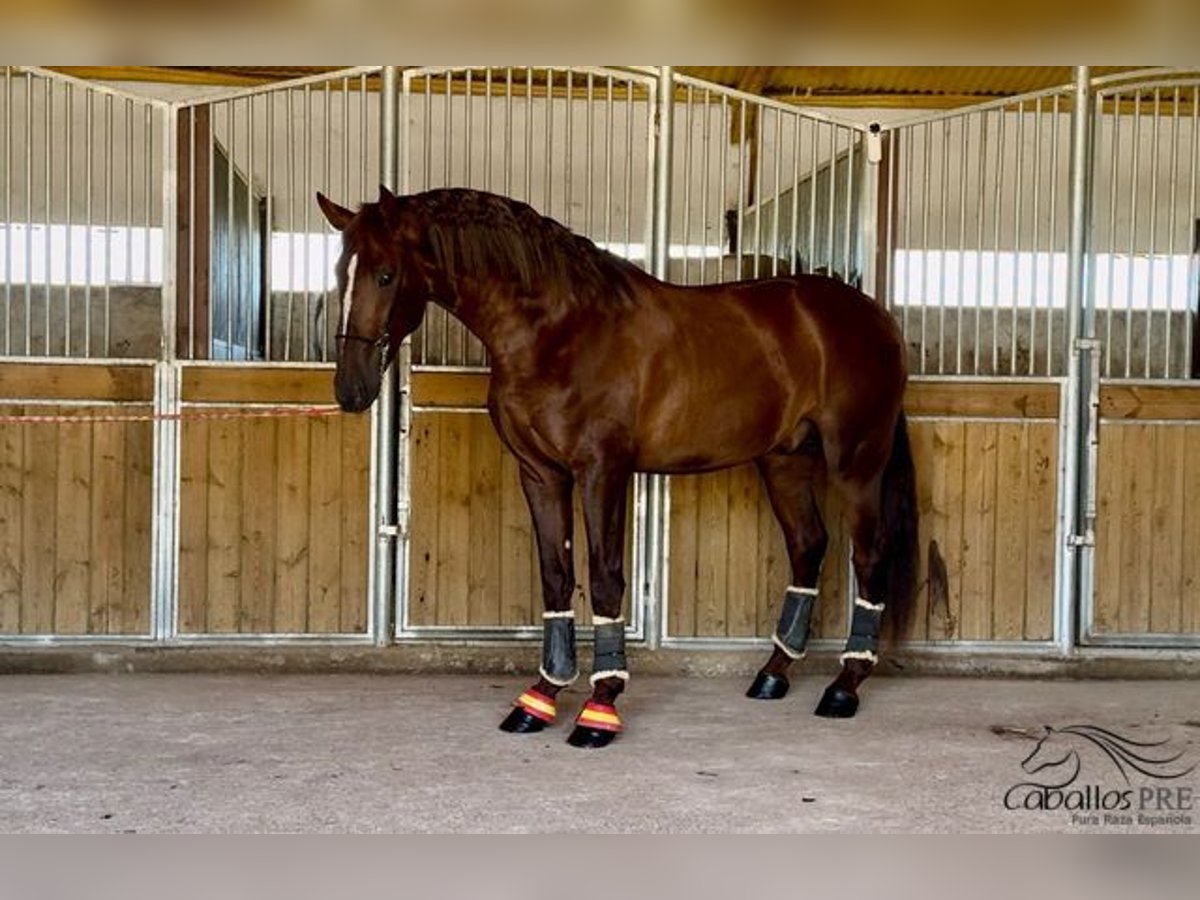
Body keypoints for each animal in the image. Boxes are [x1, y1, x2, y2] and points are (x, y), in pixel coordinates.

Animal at [319, 187, 916, 748]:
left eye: (386, 274)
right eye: (340, 271)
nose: (351, 389)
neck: (559, 330)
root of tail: (875, 316)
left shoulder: (602, 471)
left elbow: (605, 579)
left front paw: (599, 708)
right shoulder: (541, 474)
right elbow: (556, 578)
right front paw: (540, 698)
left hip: (856, 462)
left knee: (868, 555)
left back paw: (843, 687)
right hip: (785, 460)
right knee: (809, 546)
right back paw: (773, 674)